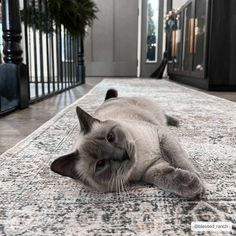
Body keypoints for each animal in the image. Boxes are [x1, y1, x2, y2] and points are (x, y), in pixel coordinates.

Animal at [51, 89, 205, 198]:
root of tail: (108, 100)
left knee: (164, 115)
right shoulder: (152, 168)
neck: (141, 159)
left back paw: (176, 122)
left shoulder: (162, 135)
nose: (123, 155)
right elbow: (165, 178)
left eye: (110, 137)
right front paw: (193, 186)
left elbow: (180, 160)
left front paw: (199, 181)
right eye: (100, 164)